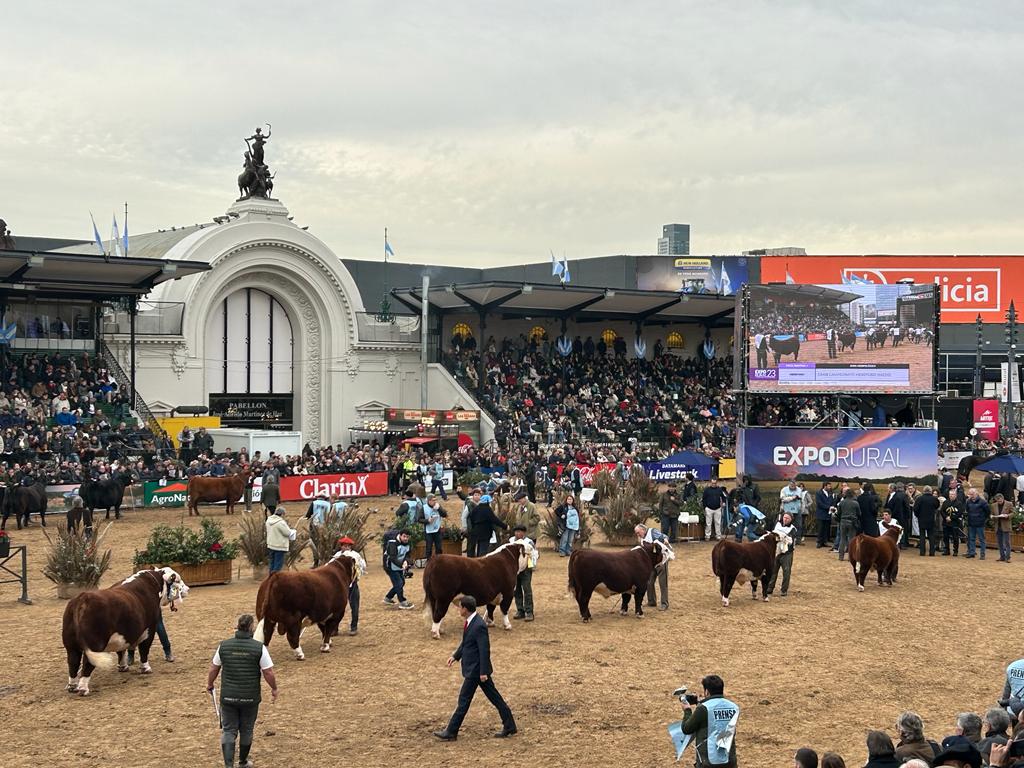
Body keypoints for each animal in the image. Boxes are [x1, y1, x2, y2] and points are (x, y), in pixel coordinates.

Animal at [60, 565, 188, 696]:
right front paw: (145, 668)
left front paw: (123, 666)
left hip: (71, 646)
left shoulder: (123, 634)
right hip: (94, 645)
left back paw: (72, 686)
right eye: (178, 580)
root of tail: (82, 599)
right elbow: (144, 650)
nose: (187, 589)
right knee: (87, 663)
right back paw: (83, 689)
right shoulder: (149, 630)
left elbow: (121, 651)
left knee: (73, 663)